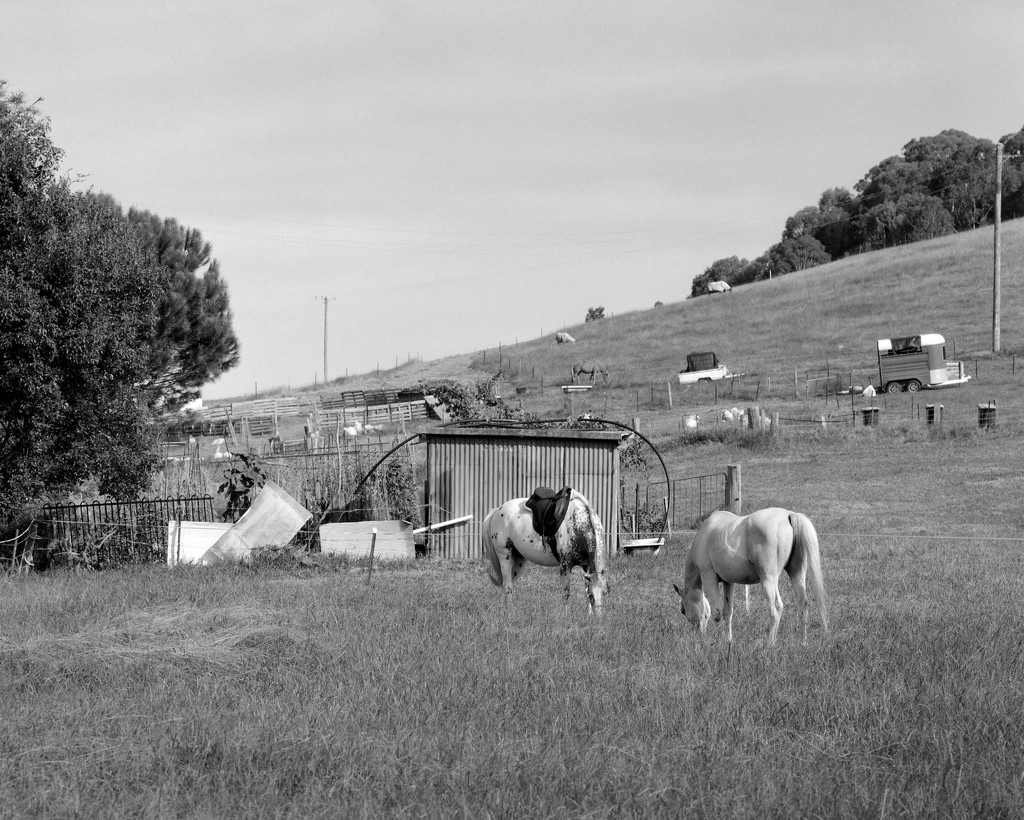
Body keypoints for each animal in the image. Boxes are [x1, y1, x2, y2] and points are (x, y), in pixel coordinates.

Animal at [671, 505, 831, 646]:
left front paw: (717, 643)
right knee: (802, 604)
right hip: (796, 573)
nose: (698, 632)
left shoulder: (709, 578)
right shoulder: (729, 582)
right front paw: (728, 641)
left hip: (768, 580)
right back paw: (803, 643)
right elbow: (727, 612)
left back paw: (770, 644)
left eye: (683, 610)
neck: (705, 534)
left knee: (776, 608)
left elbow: (717, 614)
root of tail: (789, 515)